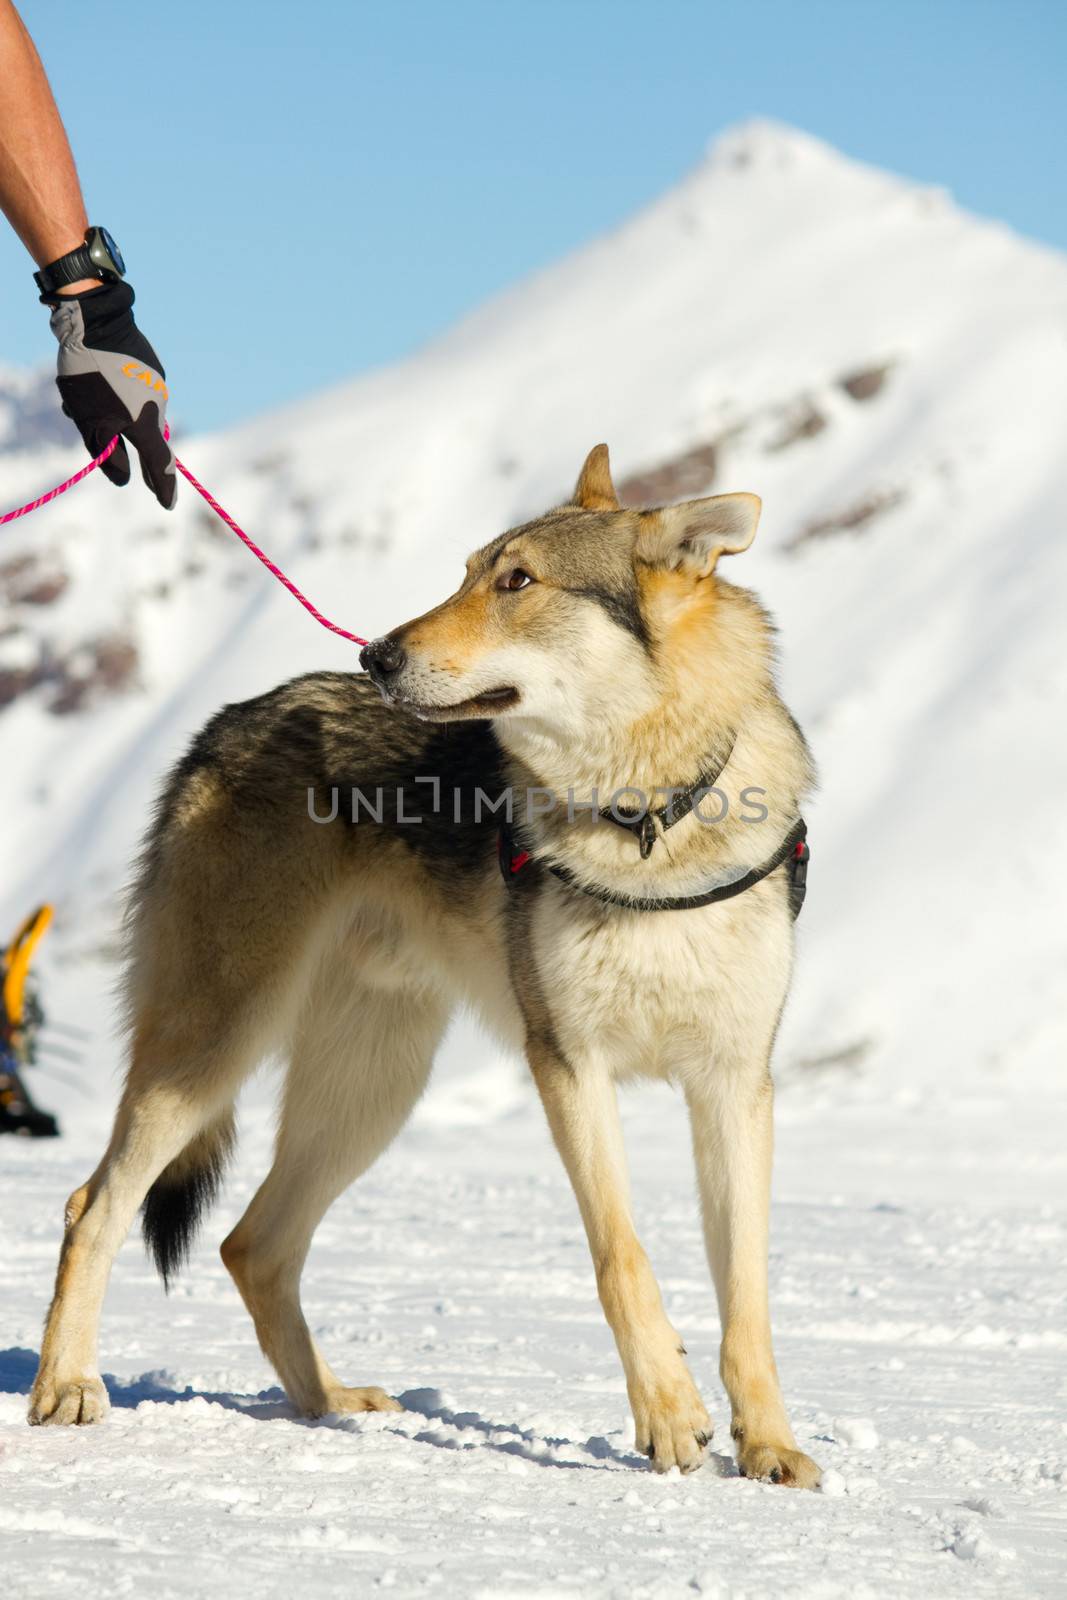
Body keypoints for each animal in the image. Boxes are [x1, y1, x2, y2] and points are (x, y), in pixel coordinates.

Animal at [29, 441, 825, 1484]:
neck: (648, 822)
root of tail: (226, 719)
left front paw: (769, 1446)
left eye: (516, 581)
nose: (376, 655)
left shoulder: (735, 1085)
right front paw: (667, 1417)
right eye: (467, 572)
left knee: (254, 1245)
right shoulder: (567, 1065)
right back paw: (66, 1387)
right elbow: (623, 1259)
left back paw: (329, 1405)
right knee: (94, 1207)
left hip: (372, 1090)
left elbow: (747, 1296)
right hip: (216, 1050)